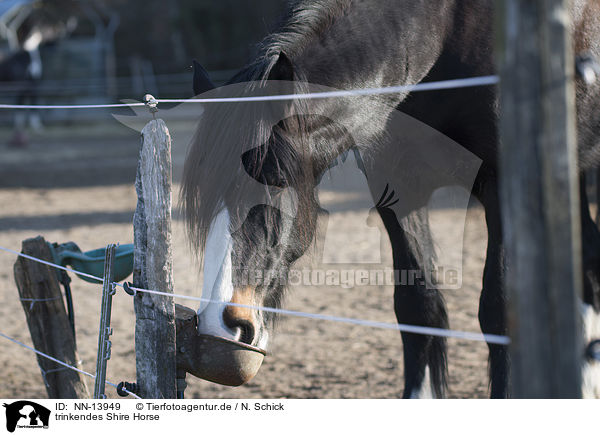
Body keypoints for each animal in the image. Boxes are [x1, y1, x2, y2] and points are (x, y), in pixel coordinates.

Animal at [183, 0, 600, 398]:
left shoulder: (501, 190)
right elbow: (419, 308)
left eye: (275, 181)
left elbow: (499, 311)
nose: (221, 325)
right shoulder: (398, 187)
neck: (447, 29)